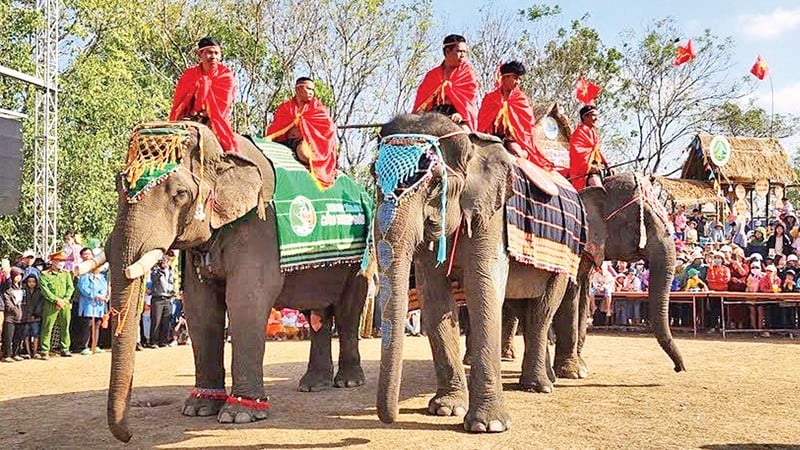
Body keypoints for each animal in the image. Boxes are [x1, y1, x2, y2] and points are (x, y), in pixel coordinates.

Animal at [103, 123, 372, 442]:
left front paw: (239, 414)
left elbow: (246, 301)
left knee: (347, 312)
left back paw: (348, 382)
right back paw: (313, 385)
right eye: (118, 184)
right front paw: (197, 408)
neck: (223, 149)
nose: (129, 435)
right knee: (316, 313)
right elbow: (200, 309)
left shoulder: (260, 226)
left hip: (363, 257)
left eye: (180, 194)